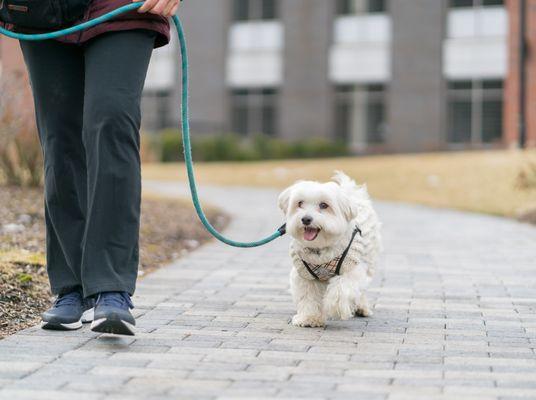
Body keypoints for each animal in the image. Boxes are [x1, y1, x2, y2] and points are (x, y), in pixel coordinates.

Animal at [278, 172, 378, 328]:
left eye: (324, 205)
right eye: (300, 203)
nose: (306, 219)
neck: (320, 250)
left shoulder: (351, 268)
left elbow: (341, 289)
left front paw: (334, 307)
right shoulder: (304, 275)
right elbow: (308, 296)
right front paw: (309, 318)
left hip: (369, 260)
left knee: (361, 289)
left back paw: (362, 307)